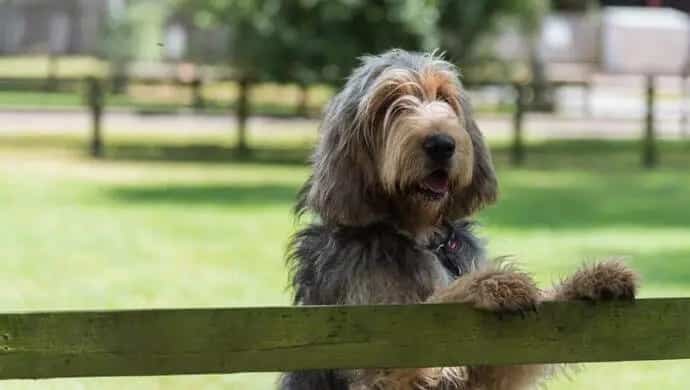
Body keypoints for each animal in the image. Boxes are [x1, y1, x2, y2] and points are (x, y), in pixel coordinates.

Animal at [276, 50, 636, 390]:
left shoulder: (491, 367)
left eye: (445, 97)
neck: (420, 234)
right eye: (390, 103)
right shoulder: (377, 347)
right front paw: (492, 283)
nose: (441, 144)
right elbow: (435, 304)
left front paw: (593, 278)